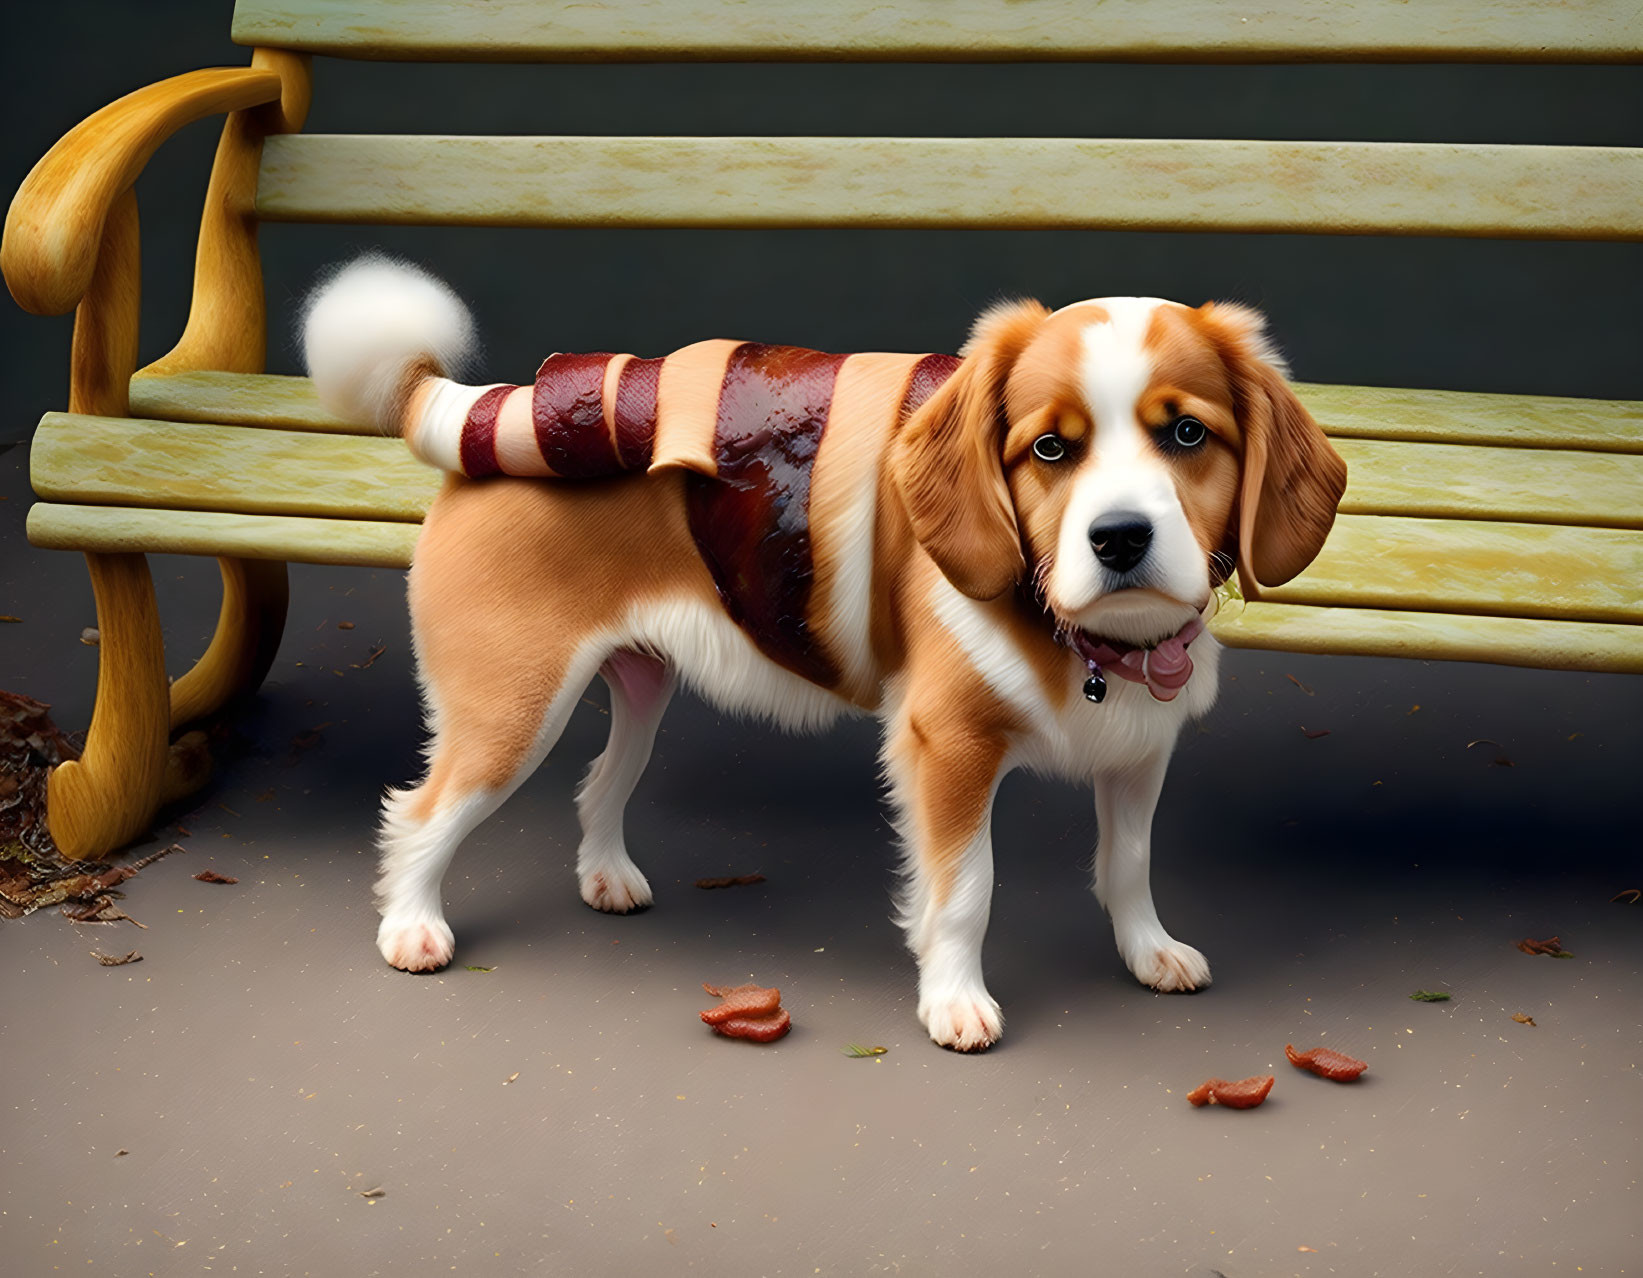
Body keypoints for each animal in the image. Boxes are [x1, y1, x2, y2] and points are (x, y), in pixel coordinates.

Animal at [302, 256, 1340, 1044]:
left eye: (1187, 434)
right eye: (1049, 450)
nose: (1120, 538)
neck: (1076, 632)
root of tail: (497, 409)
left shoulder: (1138, 751)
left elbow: (1126, 865)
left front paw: (1146, 950)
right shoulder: (947, 751)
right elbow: (964, 888)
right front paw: (954, 1001)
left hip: (637, 685)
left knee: (599, 783)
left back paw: (605, 876)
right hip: (512, 708)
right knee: (422, 812)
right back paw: (412, 925)